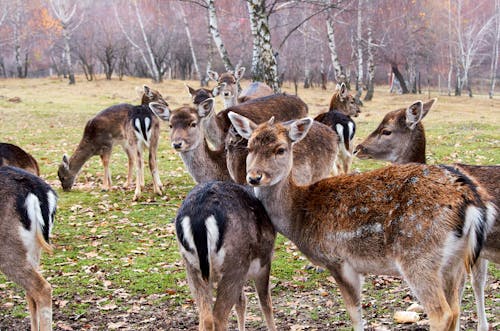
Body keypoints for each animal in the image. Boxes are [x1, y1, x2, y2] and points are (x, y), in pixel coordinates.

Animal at [175, 182, 278, 331]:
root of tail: (200, 215)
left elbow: (241, 302)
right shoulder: (263, 264)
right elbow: (265, 303)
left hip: (191, 267)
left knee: (205, 317)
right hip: (234, 265)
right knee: (218, 317)